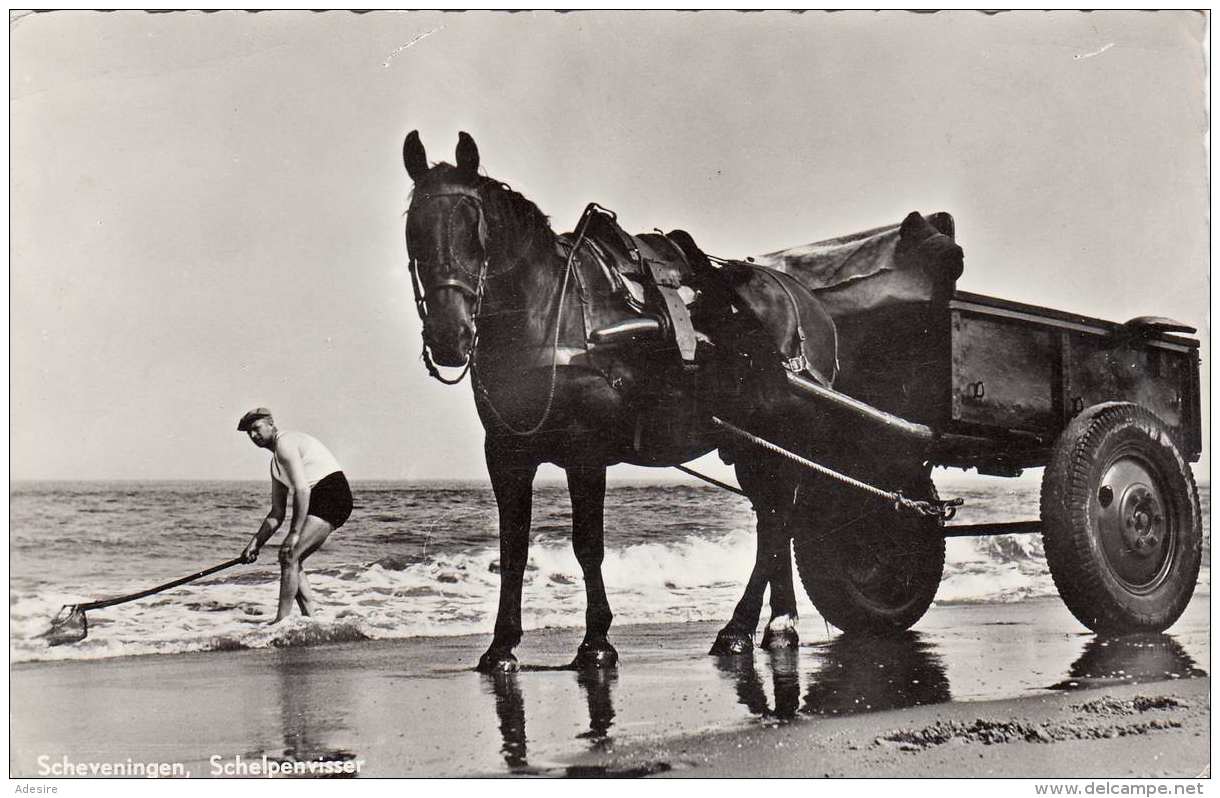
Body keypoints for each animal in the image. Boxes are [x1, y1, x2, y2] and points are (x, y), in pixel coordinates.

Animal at [400, 133, 858, 673]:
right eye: (414, 231)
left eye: (475, 231)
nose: (449, 336)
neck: (549, 313)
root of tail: (810, 305)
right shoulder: (506, 455)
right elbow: (513, 550)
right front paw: (502, 646)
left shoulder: (585, 453)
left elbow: (588, 546)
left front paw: (596, 641)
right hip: (752, 447)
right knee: (773, 520)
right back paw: (774, 624)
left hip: (779, 436)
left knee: (776, 523)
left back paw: (744, 627)